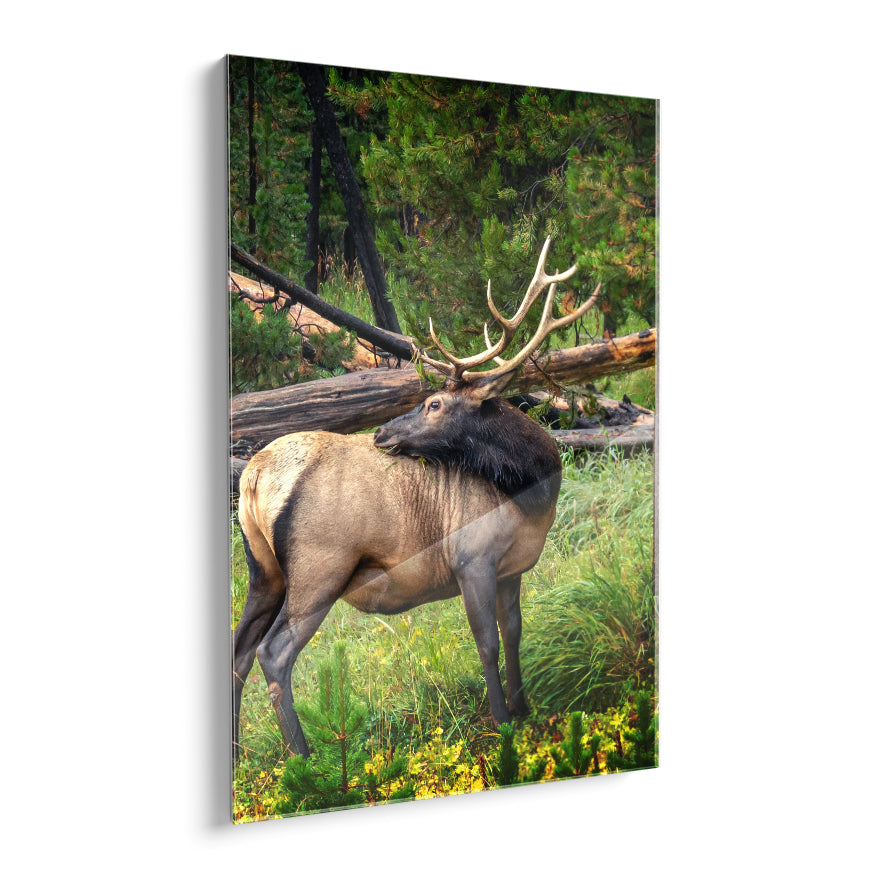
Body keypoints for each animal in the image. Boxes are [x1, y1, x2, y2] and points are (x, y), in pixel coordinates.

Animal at [232, 238, 600, 759]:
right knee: (273, 653)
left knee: (239, 651)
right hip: (319, 568)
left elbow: (514, 633)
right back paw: (303, 759)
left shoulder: (512, 568)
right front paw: (503, 722)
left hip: (264, 570)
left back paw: (239, 753)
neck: (531, 495)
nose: (381, 433)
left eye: (434, 404)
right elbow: (486, 642)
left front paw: (524, 707)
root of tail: (254, 475)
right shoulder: (472, 558)